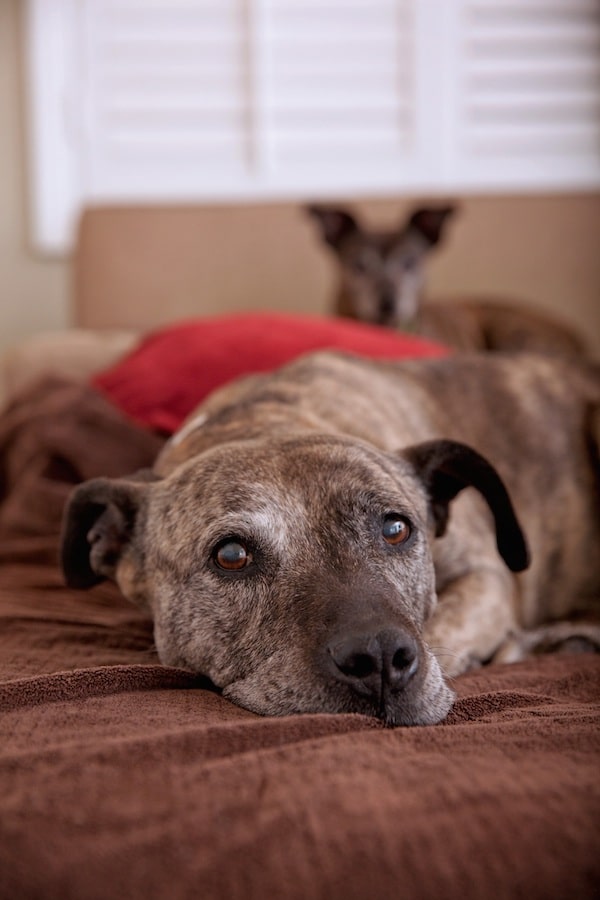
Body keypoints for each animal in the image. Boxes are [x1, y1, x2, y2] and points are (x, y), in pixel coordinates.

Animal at [62, 348, 600, 728]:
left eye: (396, 528)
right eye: (231, 555)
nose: (379, 657)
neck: (269, 421)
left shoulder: (488, 577)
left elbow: (444, 630)